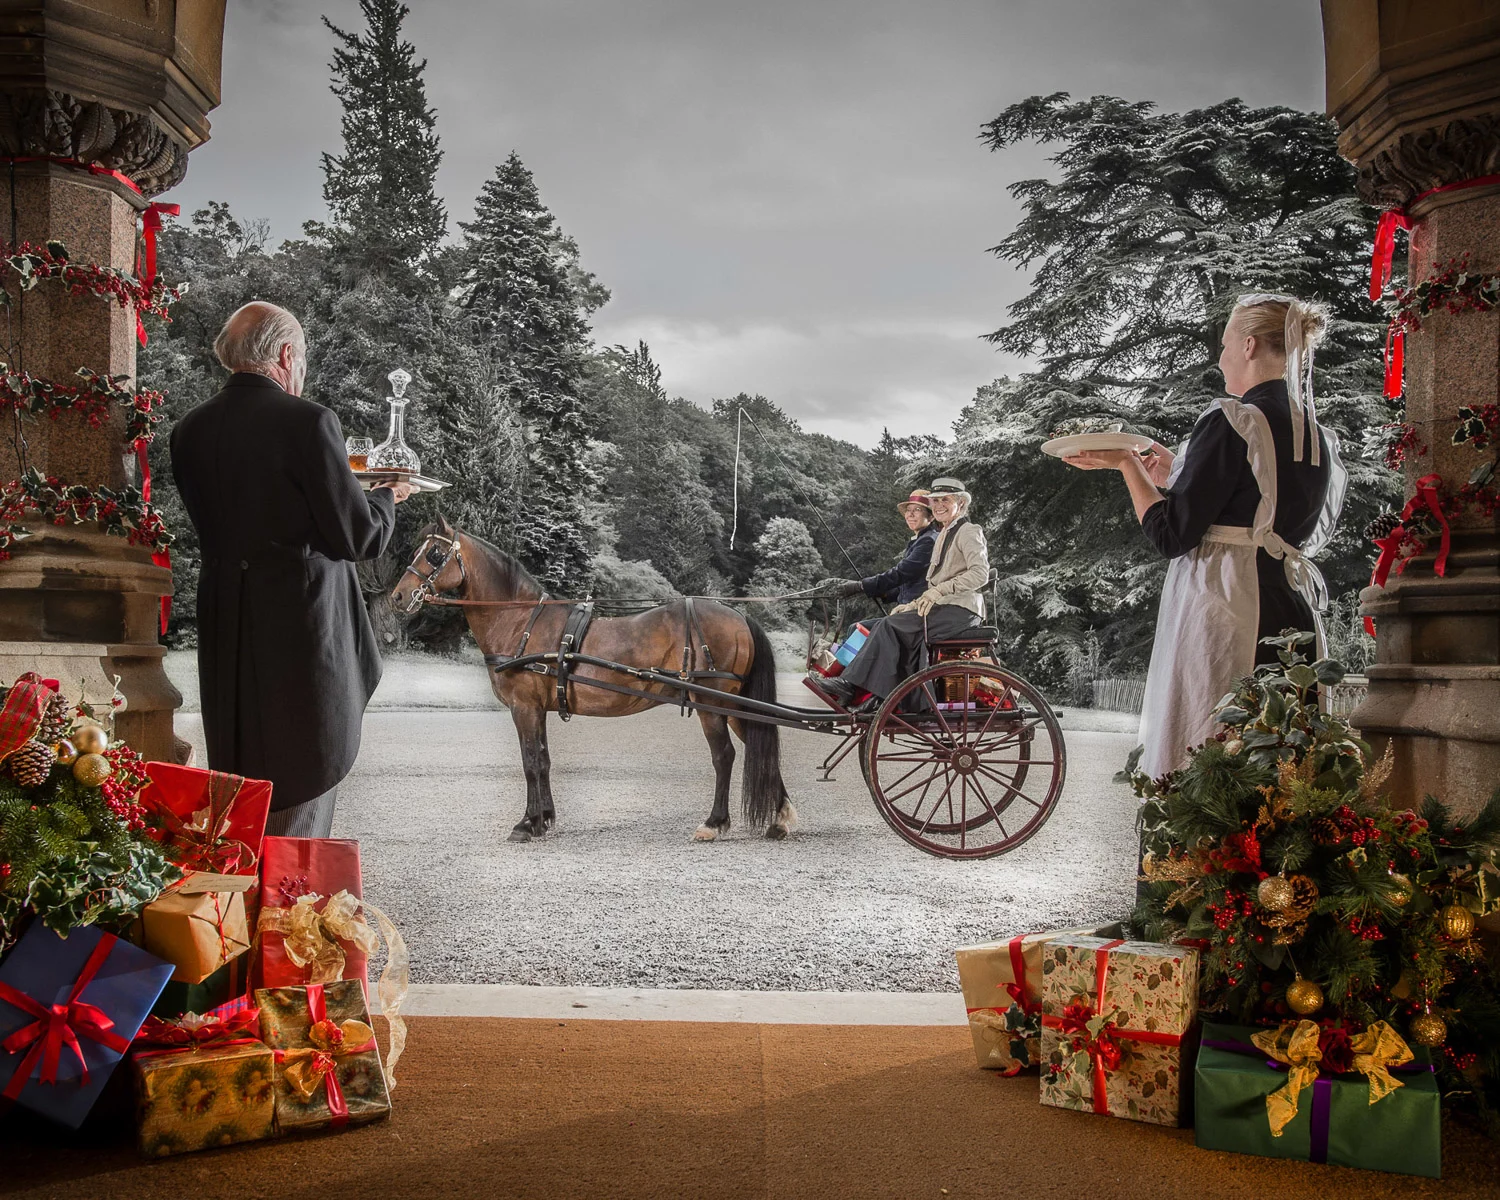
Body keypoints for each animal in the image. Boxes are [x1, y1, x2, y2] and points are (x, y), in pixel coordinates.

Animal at [393, 519, 804, 846]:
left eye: (434, 554)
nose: (398, 596)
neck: (521, 621)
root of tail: (739, 616)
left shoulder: (523, 707)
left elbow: (529, 762)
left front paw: (527, 824)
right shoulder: (538, 709)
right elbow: (544, 760)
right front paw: (544, 819)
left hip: (713, 704)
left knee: (725, 756)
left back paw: (714, 823)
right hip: (734, 705)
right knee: (759, 746)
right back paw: (780, 818)